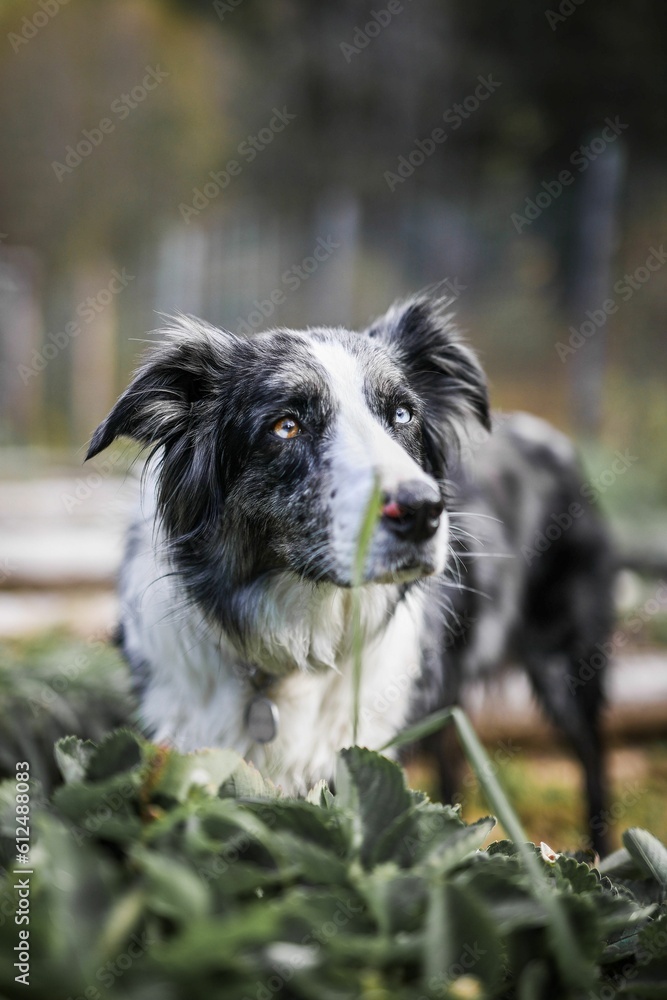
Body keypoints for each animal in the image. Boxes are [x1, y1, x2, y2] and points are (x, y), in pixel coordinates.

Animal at [88, 296, 616, 852]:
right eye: (286, 426)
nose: (422, 511)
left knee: (593, 763)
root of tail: (551, 436)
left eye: (402, 414)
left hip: (567, 666)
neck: (292, 646)